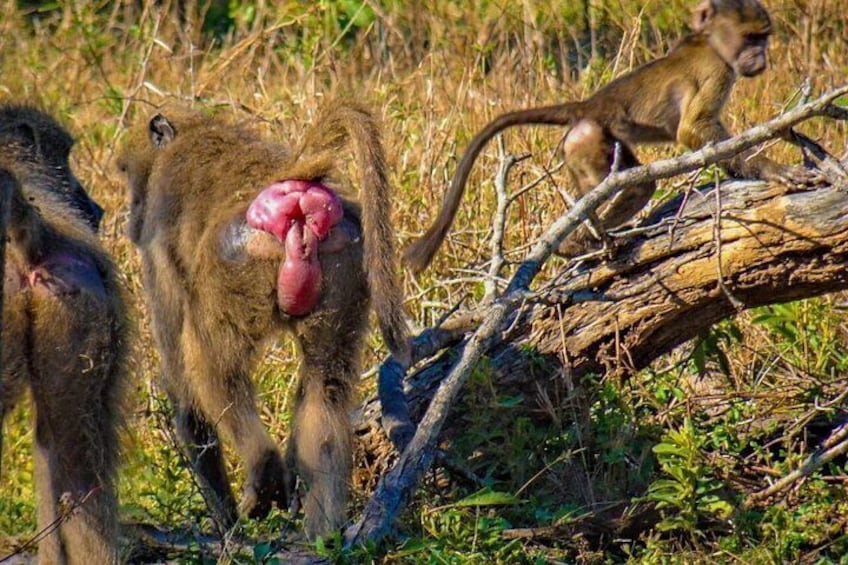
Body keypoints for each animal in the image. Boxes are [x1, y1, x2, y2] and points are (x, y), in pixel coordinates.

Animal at [117, 100, 410, 539]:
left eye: (127, 173)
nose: (130, 218)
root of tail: (294, 192)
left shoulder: (158, 243)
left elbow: (185, 394)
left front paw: (227, 526)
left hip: (233, 265)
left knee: (210, 365)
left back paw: (263, 470)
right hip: (344, 261)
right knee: (326, 387)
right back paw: (321, 535)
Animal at [404, 0, 821, 271]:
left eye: (763, 38)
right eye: (750, 38)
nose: (760, 59)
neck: (709, 41)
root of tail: (588, 105)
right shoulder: (718, 71)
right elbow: (694, 129)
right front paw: (772, 170)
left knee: (627, 187)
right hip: (590, 139)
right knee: (618, 181)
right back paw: (584, 240)